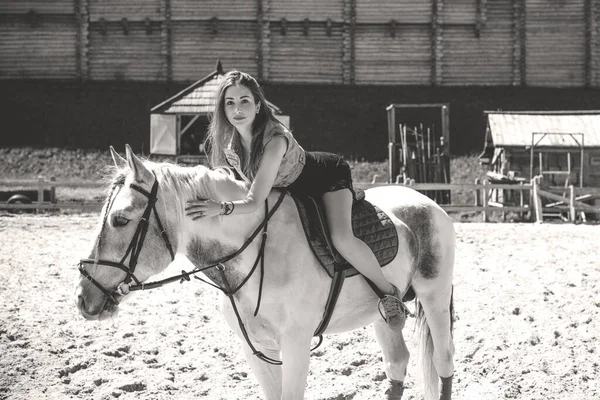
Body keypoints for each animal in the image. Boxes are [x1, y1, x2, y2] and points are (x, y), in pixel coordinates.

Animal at [75, 146, 454, 400]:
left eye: (120, 219)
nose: (83, 297)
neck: (256, 252)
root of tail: (427, 202)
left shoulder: (296, 343)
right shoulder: (255, 346)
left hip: (434, 298)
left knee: (443, 360)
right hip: (380, 316)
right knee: (397, 362)